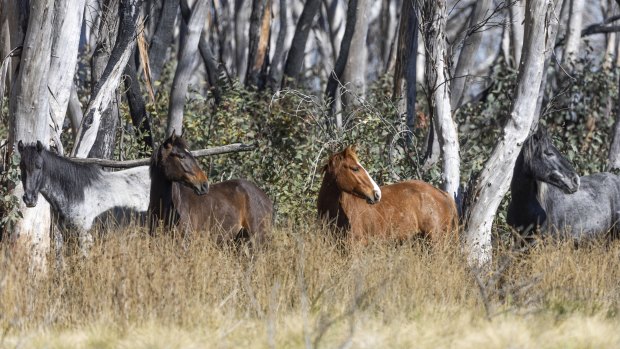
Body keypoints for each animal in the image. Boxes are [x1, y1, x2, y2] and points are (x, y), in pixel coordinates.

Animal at [18, 140, 150, 251]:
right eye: (21, 167)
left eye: (39, 166)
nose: (29, 199)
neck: (76, 195)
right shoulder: (68, 237)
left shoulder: (85, 238)